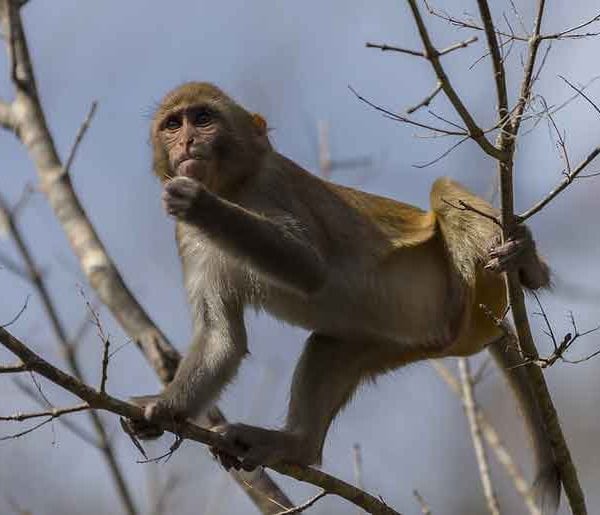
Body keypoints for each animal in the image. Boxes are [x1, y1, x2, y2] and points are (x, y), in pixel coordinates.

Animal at [134, 83, 560, 512]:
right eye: (173, 125)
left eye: (203, 118)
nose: (186, 141)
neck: (233, 186)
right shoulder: (188, 240)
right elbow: (221, 338)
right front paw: (166, 408)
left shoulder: (271, 186)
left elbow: (308, 267)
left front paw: (202, 204)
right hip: (409, 340)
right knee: (330, 346)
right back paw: (295, 445)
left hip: (468, 289)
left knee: (443, 192)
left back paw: (527, 263)